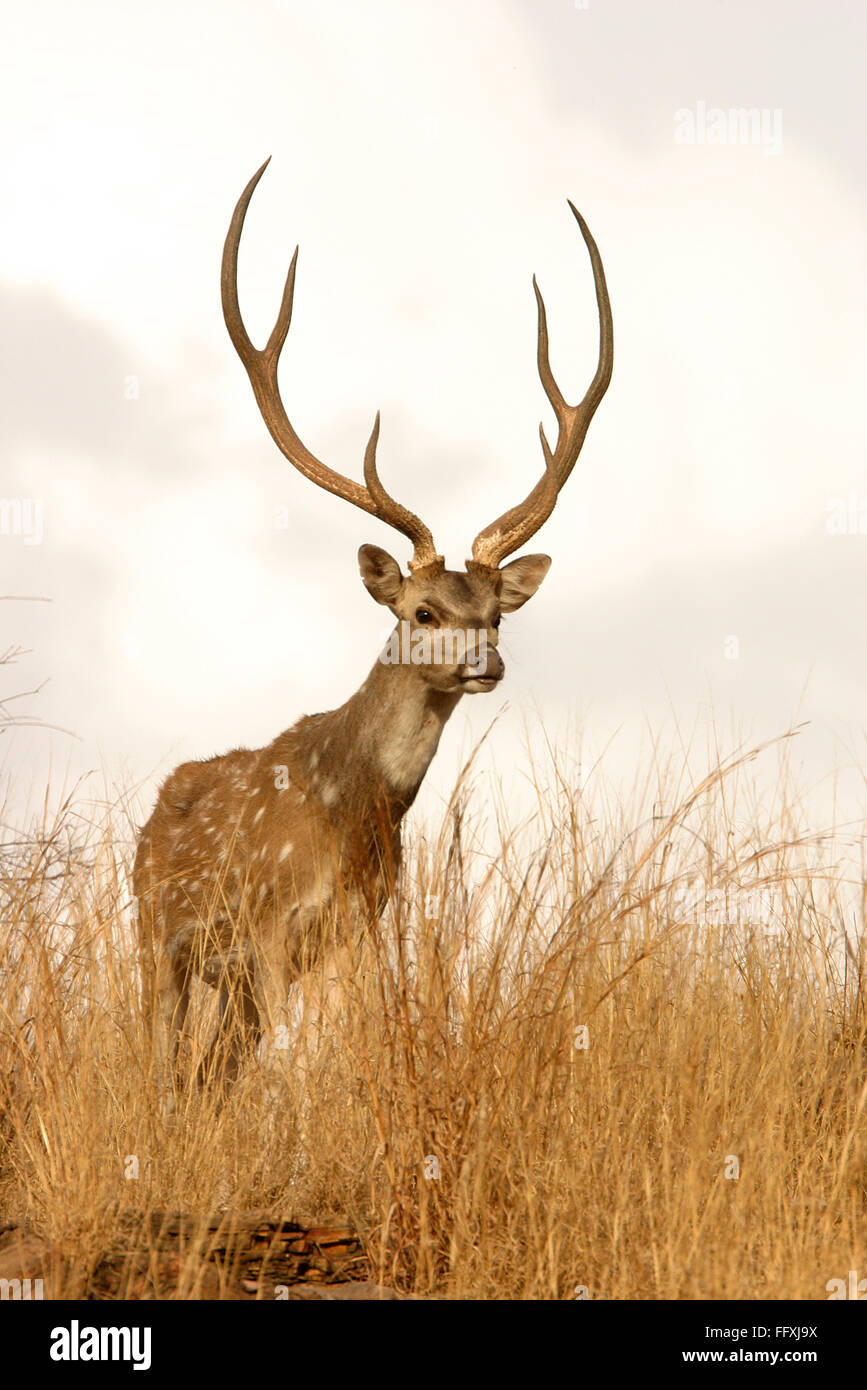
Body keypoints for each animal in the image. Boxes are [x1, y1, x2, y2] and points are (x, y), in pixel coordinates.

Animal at [131, 159, 614, 1084]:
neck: (355, 811)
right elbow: (298, 1067)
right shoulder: (270, 923)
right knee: (166, 1059)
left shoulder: (362, 925)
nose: (485, 663)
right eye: (423, 608)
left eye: (495, 615)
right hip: (152, 935)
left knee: (210, 1075)